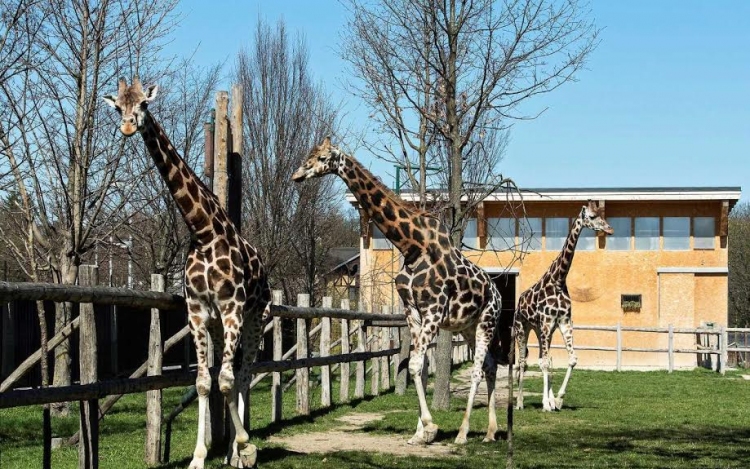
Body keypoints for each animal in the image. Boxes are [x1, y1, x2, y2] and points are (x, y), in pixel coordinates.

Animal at [103, 78, 270, 466]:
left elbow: (227, 380)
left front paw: (245, 444)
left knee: (244, 373)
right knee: (229, 373)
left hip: (255, 317)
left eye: (144, 105)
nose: (129, 126)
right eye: (118, 107)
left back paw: (242, 448)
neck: (204, 232)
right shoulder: (198, 312)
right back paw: (230, 451)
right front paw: (199, 456)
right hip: (221, 326)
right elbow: (204, 382)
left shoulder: (233, 309)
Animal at [290, 137, 516, 444]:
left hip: (486, 322)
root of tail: (497, 292)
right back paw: (490, 432)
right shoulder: (413, 311)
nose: (297, 175)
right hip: (467, 327)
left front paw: (430, 427)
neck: (411, 246)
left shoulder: (433, 310)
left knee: (478, 371)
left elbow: (417, 365)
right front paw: (420, 432)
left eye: (323, 157)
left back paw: (463, 433)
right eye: (309, 155)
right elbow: (415, 367)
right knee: (490, 366)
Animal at [516, 199, 616, 412]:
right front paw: (546, 403)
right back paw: (519, 402)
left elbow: (570, 359)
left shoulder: (563, 321)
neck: (559, 279)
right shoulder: (547, 322)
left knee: (543, 358)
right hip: (523, 327)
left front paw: (558, 399)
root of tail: (519, 300)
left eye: (600, 214)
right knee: (522, 362)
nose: (610, 229)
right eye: (592, 216)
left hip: (541, 330)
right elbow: (545, 364)